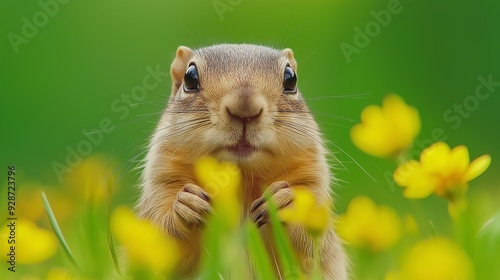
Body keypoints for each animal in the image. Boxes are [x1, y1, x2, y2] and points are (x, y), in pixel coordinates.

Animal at [137, 43, 348, 278]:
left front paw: (285, 201)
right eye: (190, 78)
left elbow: (309, 250)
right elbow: (161, 239)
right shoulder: (163, 183)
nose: (244, 108)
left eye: (291, 79)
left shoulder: (312, 184)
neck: (242, 177)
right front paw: (186, 205)